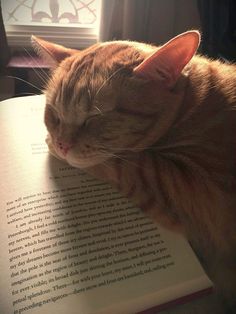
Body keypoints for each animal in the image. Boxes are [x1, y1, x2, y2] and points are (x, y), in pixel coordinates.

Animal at [31, 31, 236, 310]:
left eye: (95, 118)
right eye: (54, 113)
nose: (62, 143)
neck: (194, 105)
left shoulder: (194, 191)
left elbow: (122, 164)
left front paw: (51, 145)